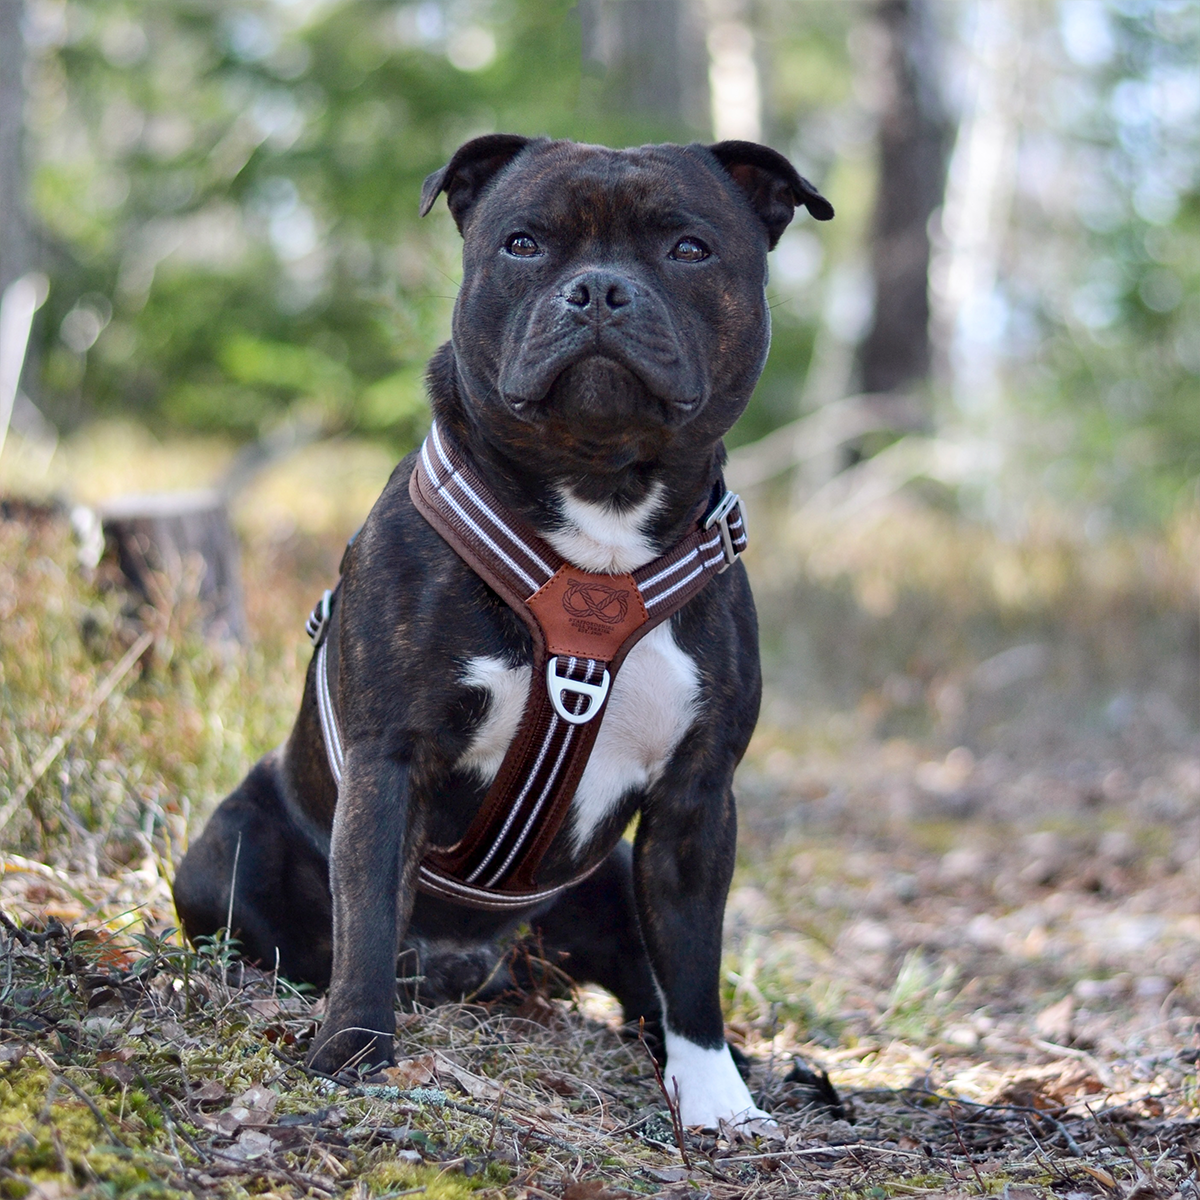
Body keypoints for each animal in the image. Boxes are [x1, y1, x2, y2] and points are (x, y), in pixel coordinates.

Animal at [174, 136, 830, 1128]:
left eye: (689, 249)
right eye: (523, 243)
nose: (598, 289)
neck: (598, 516)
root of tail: (472, 966)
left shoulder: (696, 801)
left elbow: (693, 961)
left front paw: (716, 1095)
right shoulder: (390, 763)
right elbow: (367, 918)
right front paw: (351, 1055)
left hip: (607, 884)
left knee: (644, 984)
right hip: (222, 851)